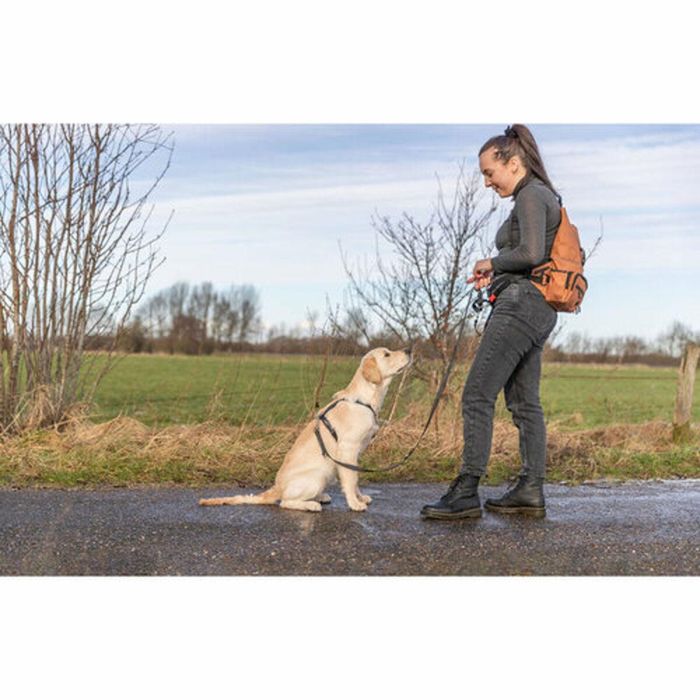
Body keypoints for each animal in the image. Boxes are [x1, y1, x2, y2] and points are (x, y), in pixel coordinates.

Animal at [198, 348, 410, 512]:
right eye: (387, 354)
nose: (409, 350)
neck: (364, 400)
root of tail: (277, 487)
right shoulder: (348, 450)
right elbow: (351, 480)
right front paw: (355, 504)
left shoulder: (355, 454)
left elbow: (355, 479)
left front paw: (360, 497)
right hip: (317, 476)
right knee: (285, 502)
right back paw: (311, 505)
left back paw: (320, 497)